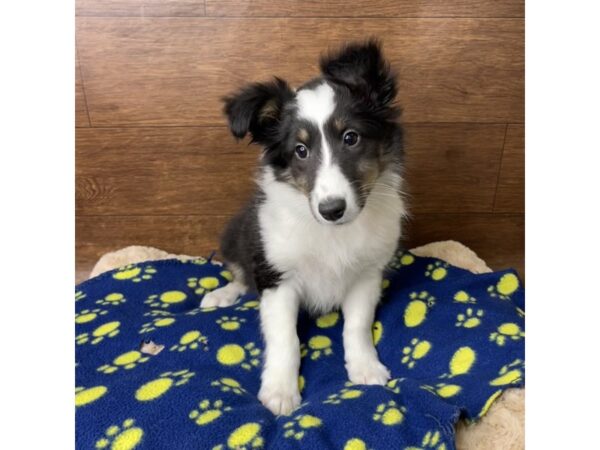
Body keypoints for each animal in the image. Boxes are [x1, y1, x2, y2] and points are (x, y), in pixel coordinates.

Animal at [203, 40, 408, 416]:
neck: (332, 234)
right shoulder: (277, 278)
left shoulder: (366, 274)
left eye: (351, 138)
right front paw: (280, 392)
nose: (332, 210)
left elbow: (356, 326)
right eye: (300, 150)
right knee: (239, 274)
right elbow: (286, 338)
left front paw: (365, 367)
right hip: (237, 236)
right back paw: (221, 295)